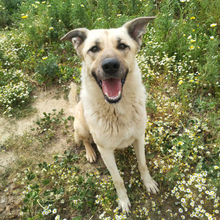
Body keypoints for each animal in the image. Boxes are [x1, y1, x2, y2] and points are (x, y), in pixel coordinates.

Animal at [61, 17, 159, 213]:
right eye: (94, 49)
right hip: (81, 127)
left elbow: (143, 164)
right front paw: (123, 200)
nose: (110, 66)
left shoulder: (139, 137)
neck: (117, 110)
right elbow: (117, 179)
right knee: (84, 140)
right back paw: (90, 152)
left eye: (122, 46)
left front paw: (148, 182)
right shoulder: (105, 151)